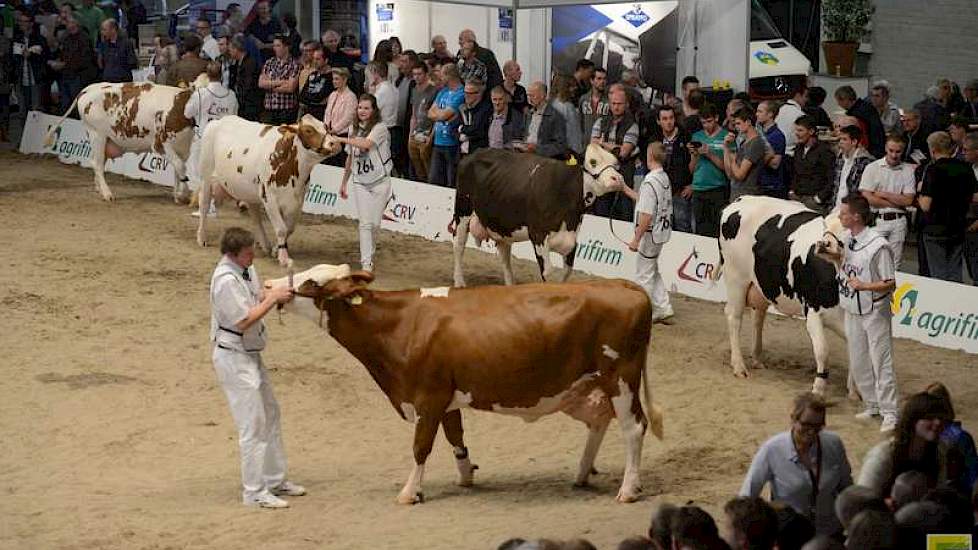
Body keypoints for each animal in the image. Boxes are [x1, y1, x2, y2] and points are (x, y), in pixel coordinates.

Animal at [193, 117, 340, 270]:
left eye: (325, 126)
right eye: (308, 130)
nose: (335, 143)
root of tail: (219, 120)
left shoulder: (296, 202)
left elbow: (289, 229)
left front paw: (277, 250)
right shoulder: (269, 198)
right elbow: (281, 229)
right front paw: (284, 258)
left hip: (249, 191)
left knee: (255, 217)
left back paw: (265, 244)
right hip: (206, 176)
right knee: (204, 205)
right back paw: (202, 237)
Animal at [264, 266, 664, 506]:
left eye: (311, 283)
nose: (268, 284)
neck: (401, 324)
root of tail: (623, 284)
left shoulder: (428, 395)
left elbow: (421, 447)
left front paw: (410, 492)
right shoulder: (446, 396)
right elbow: (455, 436)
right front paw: (466, 474)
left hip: (620, 376)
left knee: (633, 427)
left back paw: (628, 489)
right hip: (585, 386)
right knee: (599, 421)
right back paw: (582, 474)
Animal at [452, 143, 624, 288]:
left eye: (616, 164)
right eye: (593, 162)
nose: (617, 179)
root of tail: (475, 152)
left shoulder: (571, 239)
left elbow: (567, 273)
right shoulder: (538, 234)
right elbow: (548, 272)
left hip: (501, 223)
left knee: (504, 255)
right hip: (463, 210)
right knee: (459, 244)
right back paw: (459, 282)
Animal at [708, 196, 848, 394]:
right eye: (826, 227)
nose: (824, 245)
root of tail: (741, 199)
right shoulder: (813, 309)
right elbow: (822, 350)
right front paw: (818, 389)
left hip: (762, 283)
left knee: (758, 317)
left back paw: (757, 358)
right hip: (736, 277)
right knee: (734, 317)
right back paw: (739, 366)